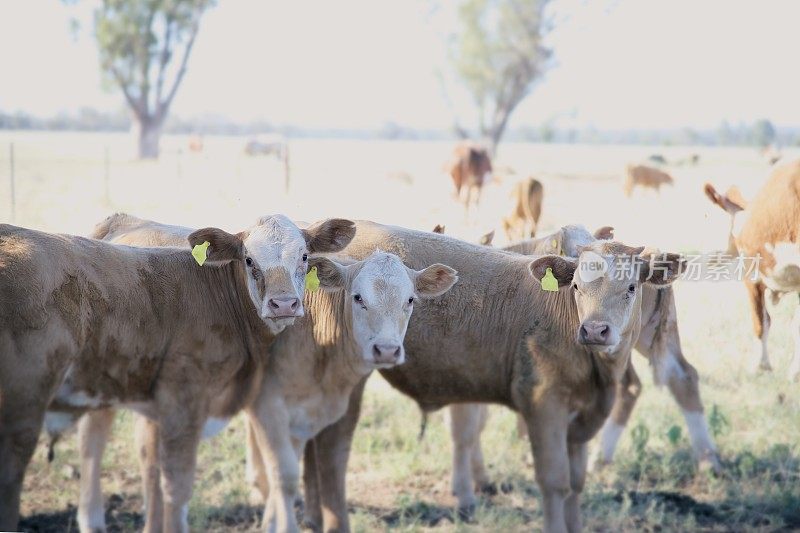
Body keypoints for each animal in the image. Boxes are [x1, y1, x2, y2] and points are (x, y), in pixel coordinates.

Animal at [0, 213, 352, 532]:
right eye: (249, 259)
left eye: (304, 256)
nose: (284, 304)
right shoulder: (183, 401)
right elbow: (177, 487)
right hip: (25, 404)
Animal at [250, 220, 680, 532]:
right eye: (576, 285)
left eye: (631, 287)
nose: (596, 330)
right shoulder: (544, 408)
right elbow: (555, 481)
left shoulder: (581, 418)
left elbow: (576, 484)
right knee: (321, 450)